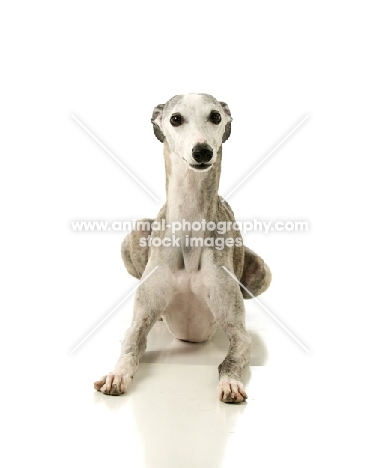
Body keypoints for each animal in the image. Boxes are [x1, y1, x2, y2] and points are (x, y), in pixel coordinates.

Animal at [93, 94, 268, 402]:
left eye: (215, 116)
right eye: (176, 118)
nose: (202, 151)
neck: (189, 226)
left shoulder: (240, 334)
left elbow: (230, 358)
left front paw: (230, 383)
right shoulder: (139, 320)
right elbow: (130, 346)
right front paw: (116, 375)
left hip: (263, 272)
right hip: (136, 232)